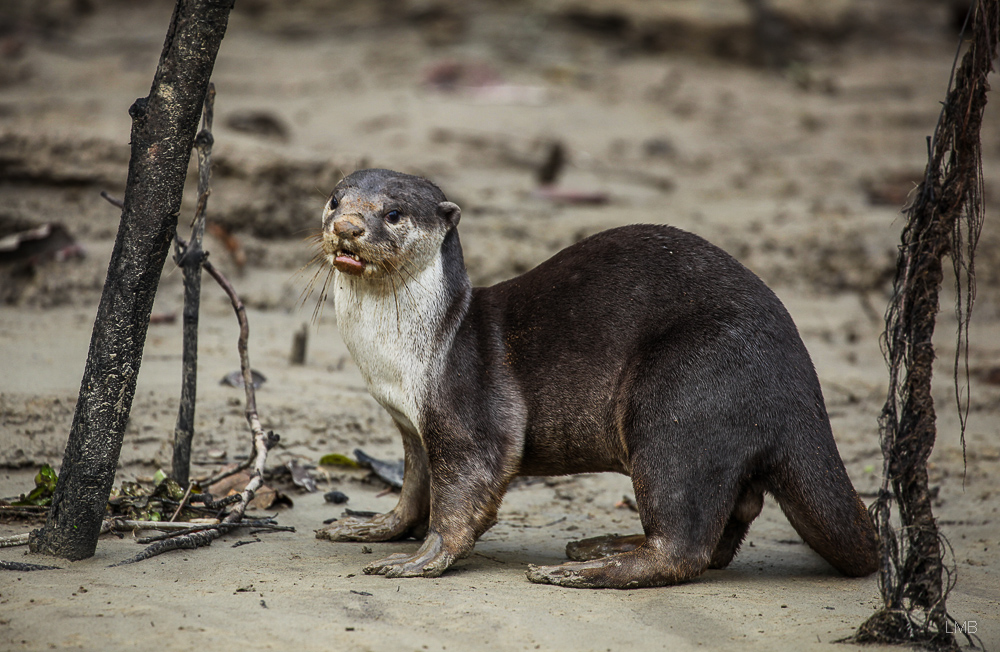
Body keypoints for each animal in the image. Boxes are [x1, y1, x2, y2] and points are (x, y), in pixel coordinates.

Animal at [312, 169, 876, 592]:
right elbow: (414, 488)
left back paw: (581, 568)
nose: (348, 226)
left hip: (683, 394)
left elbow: (461, 495)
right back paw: (603, 545)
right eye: (335, 199)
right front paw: (371, 526)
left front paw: (420, 559)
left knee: (684, 547)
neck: (417, 350)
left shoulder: (465, 414)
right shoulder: (412, 425)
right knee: (727, 528)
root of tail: (801, 386)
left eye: (393, 213)